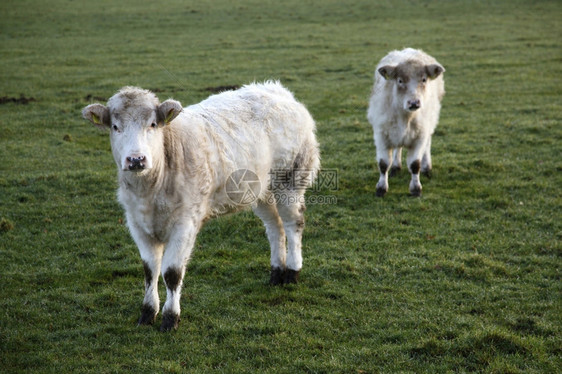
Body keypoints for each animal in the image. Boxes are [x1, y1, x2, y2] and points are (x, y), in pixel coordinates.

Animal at [82, 82, 320, 330]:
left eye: (153, 124)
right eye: (115, 127)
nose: (136, 159)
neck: (151, 191)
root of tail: (277, 90)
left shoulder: (185, 223)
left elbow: (172, 273)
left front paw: (170, 318)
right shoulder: (137, 224)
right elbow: (150, 271)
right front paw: (147, 313)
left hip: (291, 179)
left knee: (293, 224)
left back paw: (292, 272)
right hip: (260, 189)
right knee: (275, 227)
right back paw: (276, 273)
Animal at [366, 48, 444, 197]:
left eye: (424, 79)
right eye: (400, 80)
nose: (414, 103)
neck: (406, 117)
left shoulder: (420, 136)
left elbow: (415, 164)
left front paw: (416, 188)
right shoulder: (381, 135)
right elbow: (383, 164)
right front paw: (381, 188)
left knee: (427, 145)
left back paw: (427, 167)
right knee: (398, 147)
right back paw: (396, 167)